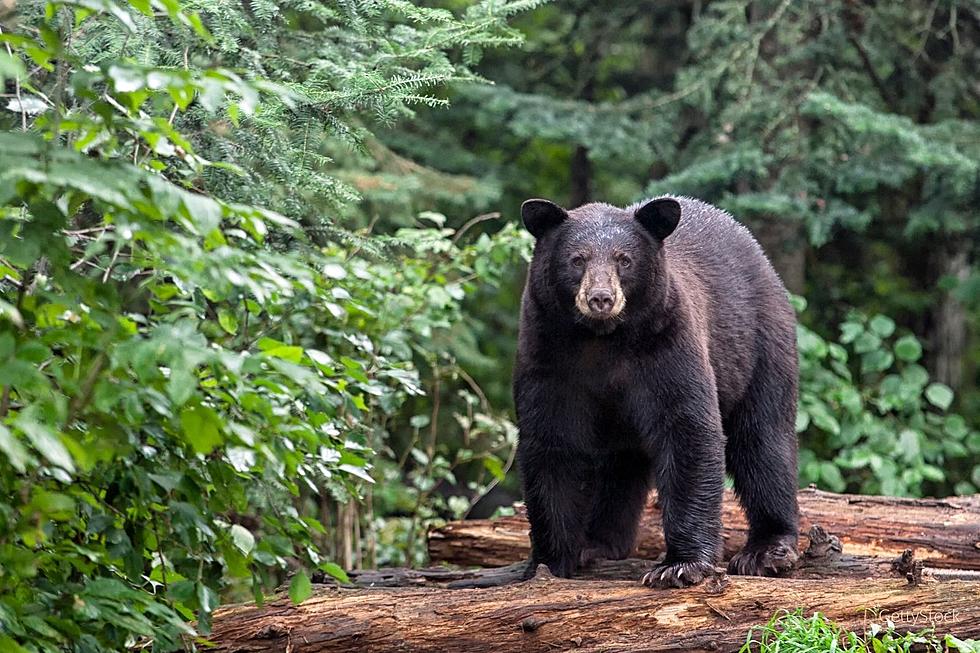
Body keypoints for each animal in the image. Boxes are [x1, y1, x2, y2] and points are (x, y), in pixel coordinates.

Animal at [516, 194, 800, 584]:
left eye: (624, 259)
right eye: (577, 259)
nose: (601, 298)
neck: (600, 340)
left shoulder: (666, 344)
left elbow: (688, 429)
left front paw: (680, 565)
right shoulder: (547, 355)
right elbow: (551, 443)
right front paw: (549, 561)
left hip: (759, 346)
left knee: (763, 439)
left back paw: (767, 549)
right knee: (618, 465)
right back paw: (598, 544)